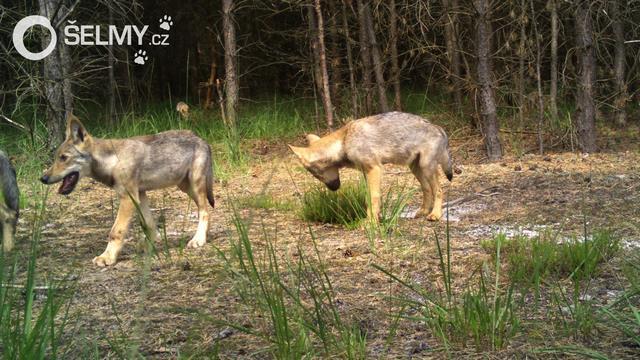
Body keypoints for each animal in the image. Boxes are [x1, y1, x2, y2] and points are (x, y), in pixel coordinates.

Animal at [42, 115, 218, 268]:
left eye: (64, 158)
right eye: (57, 157)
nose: (42, 178)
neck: (113, 161)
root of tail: (201, 139)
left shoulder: (127, 198)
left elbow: (116, 232)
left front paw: (107, 257)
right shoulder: (140, 195)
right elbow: (148, 225)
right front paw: (150, 245)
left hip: (195, 185)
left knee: (204, 211)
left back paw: (198, 240)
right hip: (186, 187)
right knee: (206, 210)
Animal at [288, 111, 452, 221]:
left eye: (315, 174)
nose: (334, 188)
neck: (345, 142)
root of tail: (439, 128)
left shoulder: (375, 170)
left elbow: (373, 197)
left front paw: (370, 223)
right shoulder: (366, 173)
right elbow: (369, 198)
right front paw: (373, 218)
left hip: (426, 167)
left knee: (439, 190)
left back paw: (435, 214)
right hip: (416, 169)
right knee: (427, 189)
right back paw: (423, 211)